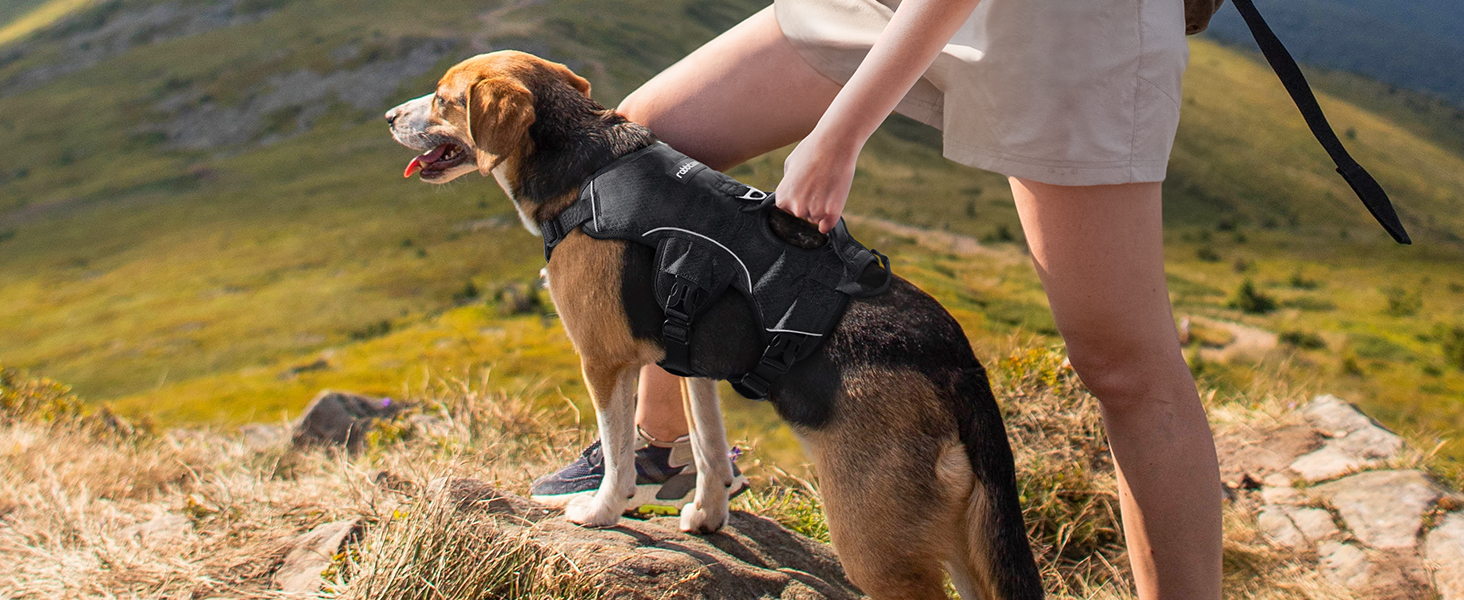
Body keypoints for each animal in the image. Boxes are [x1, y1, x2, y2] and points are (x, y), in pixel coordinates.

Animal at [386, 51, 1054, 600]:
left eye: (445, 99)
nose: (390, 115)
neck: (584, 163)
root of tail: (952, 356)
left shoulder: (604, 359)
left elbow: (619, 452)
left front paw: (601, 511)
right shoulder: (691, 364)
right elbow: (708, 449)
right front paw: (708, 517)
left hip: (876, 539)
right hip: (965, 541)